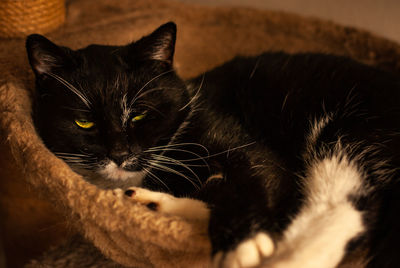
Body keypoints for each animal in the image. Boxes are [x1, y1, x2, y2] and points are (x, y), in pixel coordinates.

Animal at [26, 22, 400, 266]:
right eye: (84, 122)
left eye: (139, 115)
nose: (119, 154)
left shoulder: (236, 139)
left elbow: (255, 176)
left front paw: (241, 247)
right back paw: (147, 203)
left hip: (349, 132)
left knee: (337, 209)